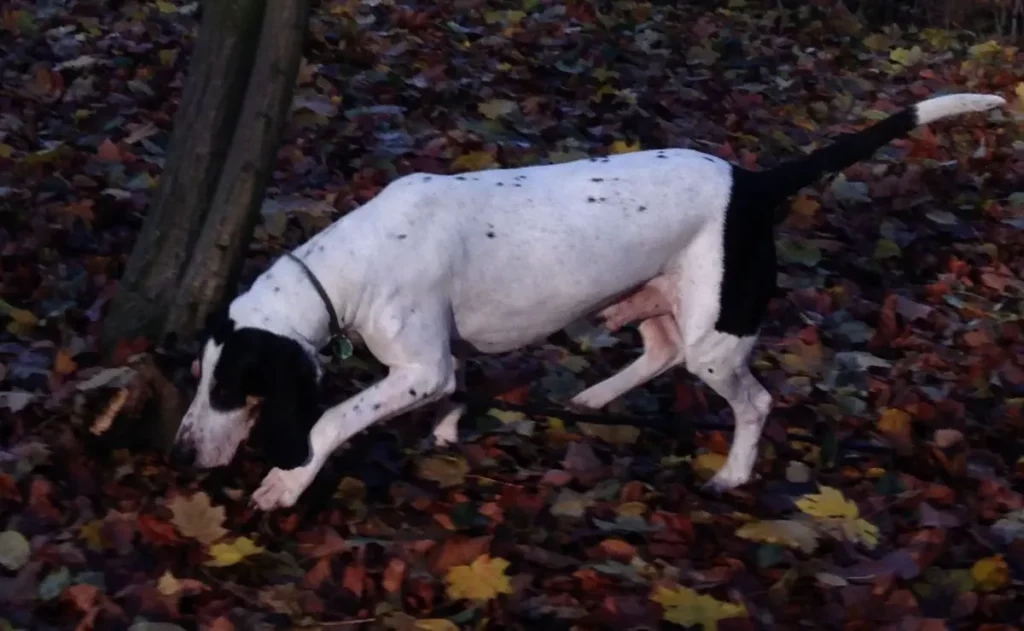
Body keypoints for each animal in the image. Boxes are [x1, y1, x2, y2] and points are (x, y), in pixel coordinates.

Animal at [169, 93, 1007, 510]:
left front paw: (287, 480)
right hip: (667, 306)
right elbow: (457, 388)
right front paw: (447, 433)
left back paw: (733, 474)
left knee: (755, 401)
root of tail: (756, 182)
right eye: (197, 378)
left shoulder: (417, 365)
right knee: (658, 353)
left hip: (717, 336)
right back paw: (596, 397)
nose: (176, 452)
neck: (354, 261)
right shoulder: (445, 359)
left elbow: (334, 418)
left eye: (230, 389)